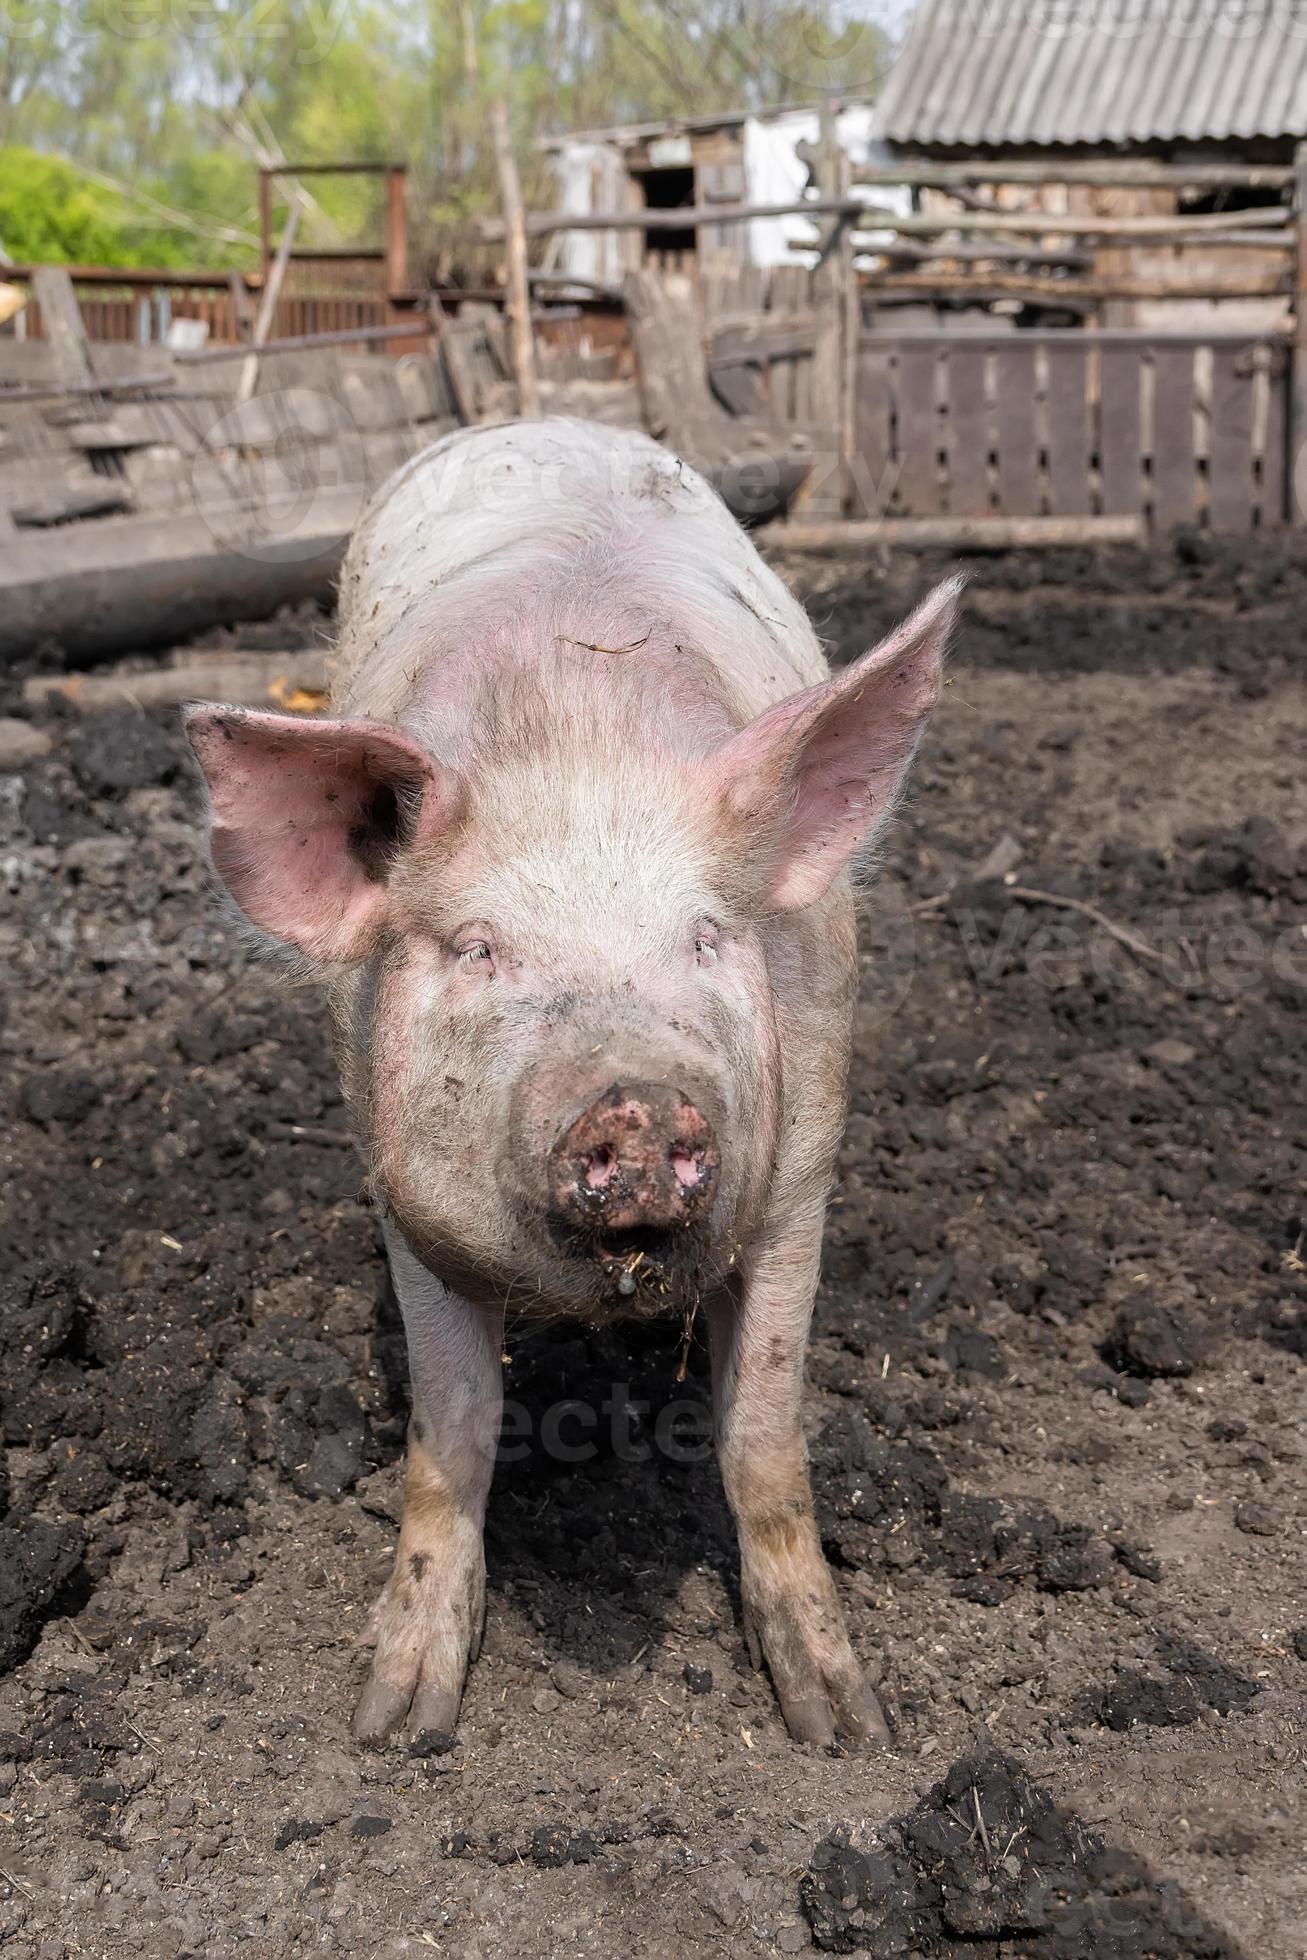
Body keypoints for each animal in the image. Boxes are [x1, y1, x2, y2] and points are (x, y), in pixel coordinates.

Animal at [185, 418, 959, 1751]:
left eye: (705, 936)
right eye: (478, 947)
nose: (635, 1101)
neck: (577, 738)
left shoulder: (803, 1165)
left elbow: (763, 1435)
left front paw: (842, 1723)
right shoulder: (399, 1188)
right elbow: (451, 1426)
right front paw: (396, 1720)